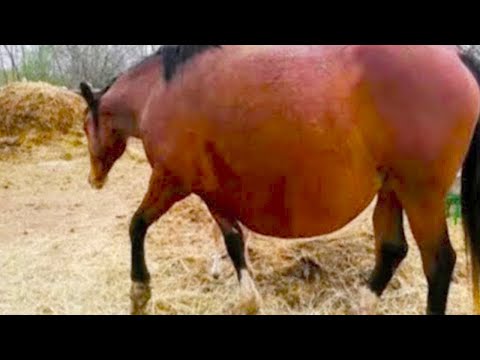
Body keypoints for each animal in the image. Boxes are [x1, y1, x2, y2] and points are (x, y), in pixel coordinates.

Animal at [80, 45, 480, 316]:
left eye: (85, 126)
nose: (93, 179)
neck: (157, 92)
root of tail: (458, 56)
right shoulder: (212, 192)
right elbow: (234, 241)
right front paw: (248, 299)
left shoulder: (170, 180)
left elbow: (137, 226)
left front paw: (139, 291)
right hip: (392, 189)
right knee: (392, 250)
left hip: (421, 194)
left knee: (439, 263)